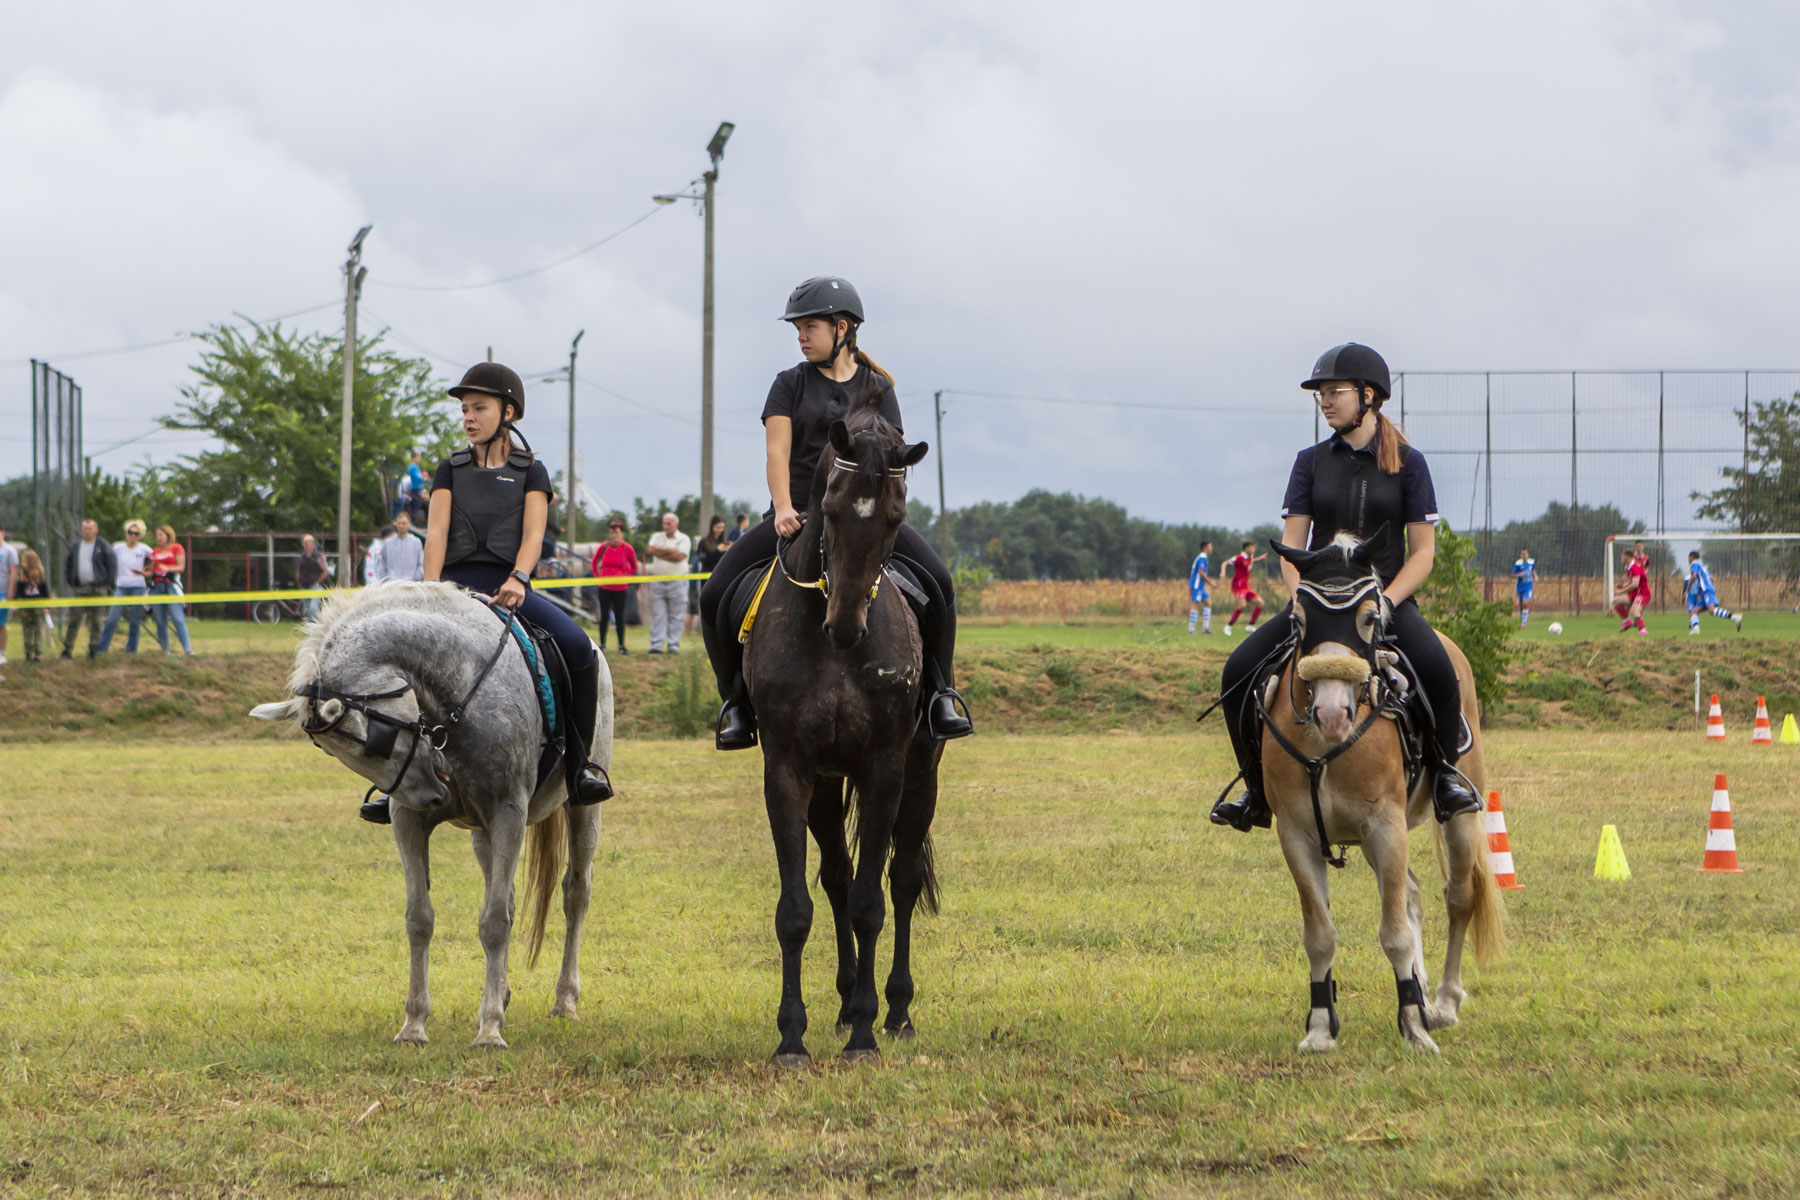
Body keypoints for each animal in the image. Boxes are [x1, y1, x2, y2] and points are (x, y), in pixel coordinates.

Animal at [745, 399, 943, 1065]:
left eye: (895, 518)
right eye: (828, 509)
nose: (846, 628)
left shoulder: (884, 768)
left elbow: (870, 903)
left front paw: (863, 1032)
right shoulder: (789, 770)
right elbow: (797, 909)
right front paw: (791, 1037)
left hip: (921, 773)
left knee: (901, 879)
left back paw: (896, 1011)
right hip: (828, 788)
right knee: (834, 876)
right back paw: (844, 998)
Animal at [1260, 536, 1512, 1050]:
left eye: (1369, 617)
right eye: (1299, 620)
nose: (1332, 713)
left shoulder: (1386, 826)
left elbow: (1395, 932)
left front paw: (1414, 1029)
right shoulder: (1297, 835)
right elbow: (1320, 934)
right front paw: (1321, 1028)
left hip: (1461, 818)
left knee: (1459, 896)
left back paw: (1443, 1003)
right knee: (1412, 894)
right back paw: (1421, 993)